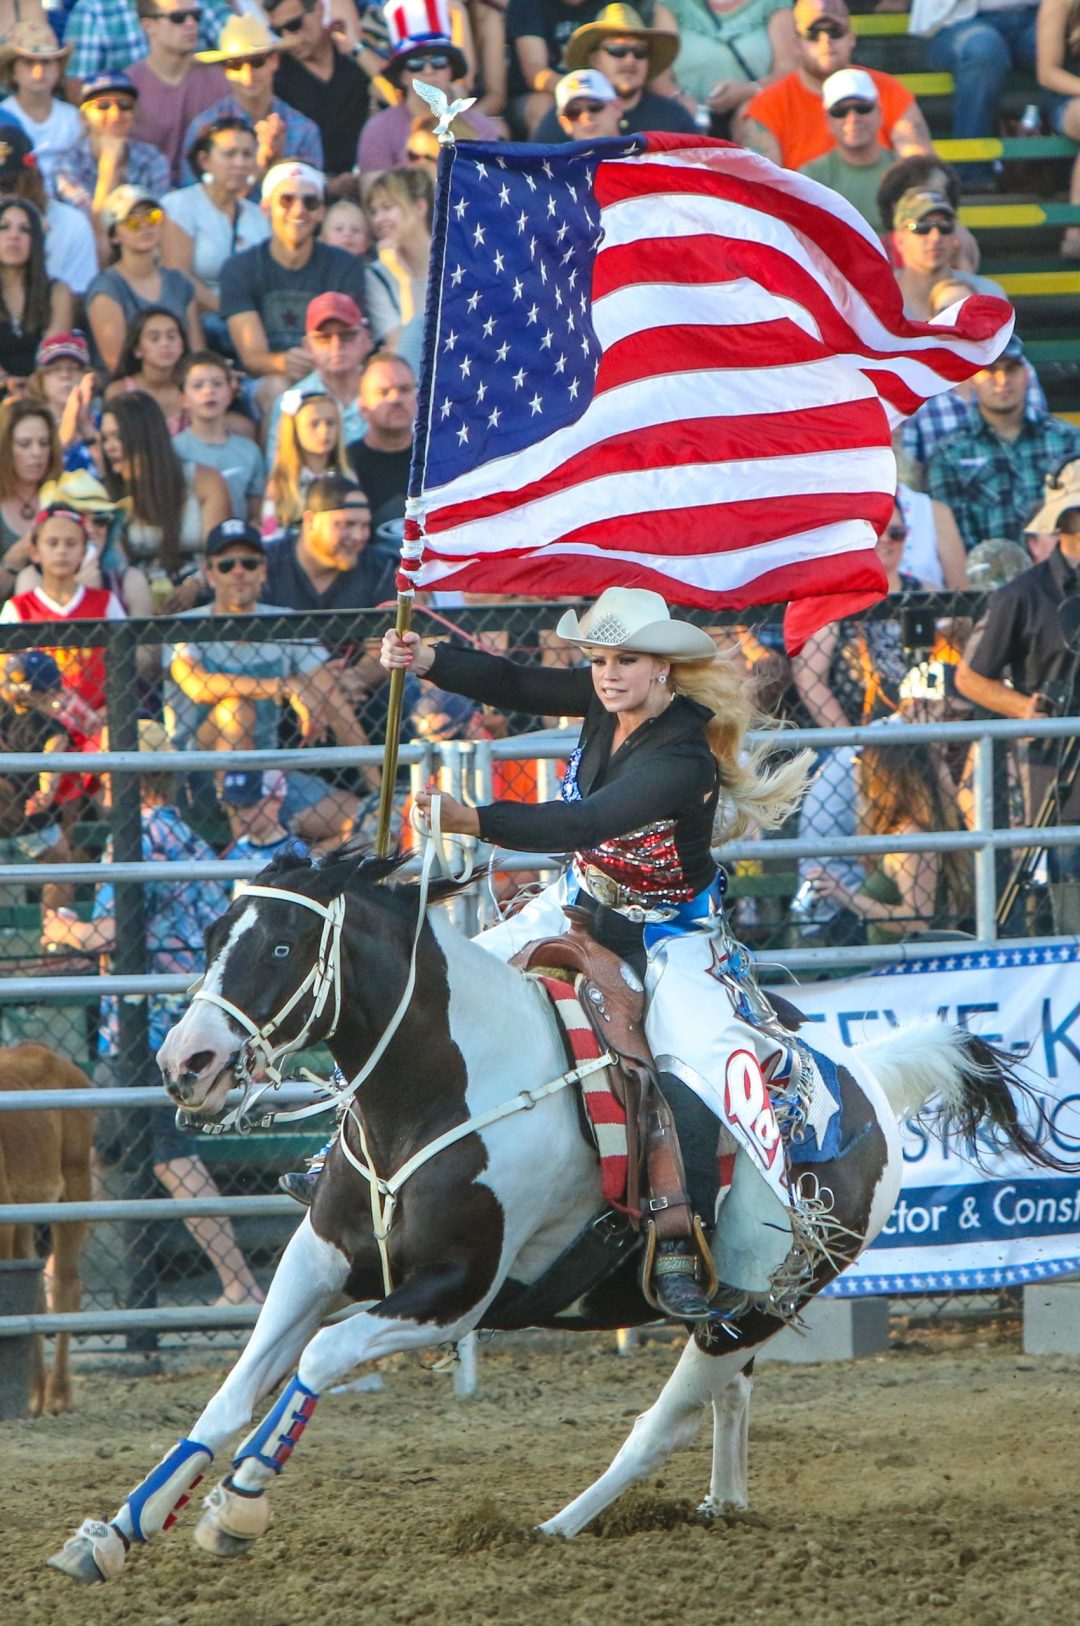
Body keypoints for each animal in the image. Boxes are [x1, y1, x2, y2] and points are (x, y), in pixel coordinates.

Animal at [48, 845, 1060, 1580]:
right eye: (215, 932)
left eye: (286, 949)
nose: (187, 1063)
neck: (439, 1088)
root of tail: (872, 1085)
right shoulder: (321, 1256)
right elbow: (235, 1389)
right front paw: (119, 1529)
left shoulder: (455, 1294)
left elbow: (321, 1358)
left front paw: (239, 1506)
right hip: (734, 1305)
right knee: (729, 1397)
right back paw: (721, 1503)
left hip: (767, 1302)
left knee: (664, 1423)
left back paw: (558, 1527)